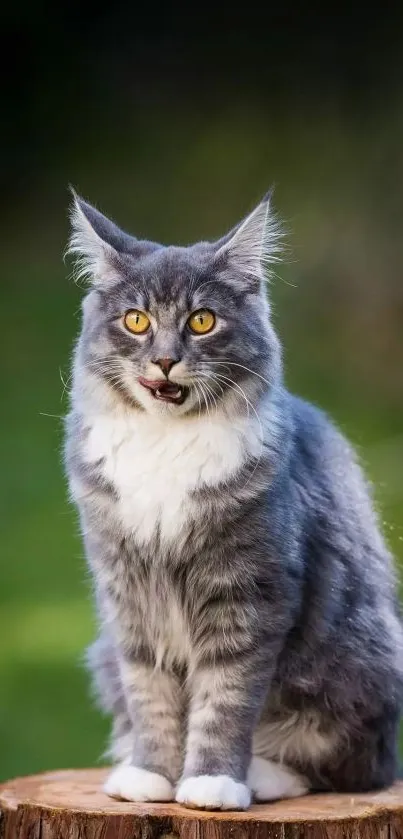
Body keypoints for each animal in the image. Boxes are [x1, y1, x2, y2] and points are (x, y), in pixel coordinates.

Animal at [64, 189, 402, 808]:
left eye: (202, 321)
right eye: (136, 320)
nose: (165, 359)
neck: (165, 442)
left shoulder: (248, 592)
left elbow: (224, 701)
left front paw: (211, 783)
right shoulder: (128, 594)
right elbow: (150, 693)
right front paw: (151, 775)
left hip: (360, 663)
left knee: (349, 769)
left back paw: (261, 776)